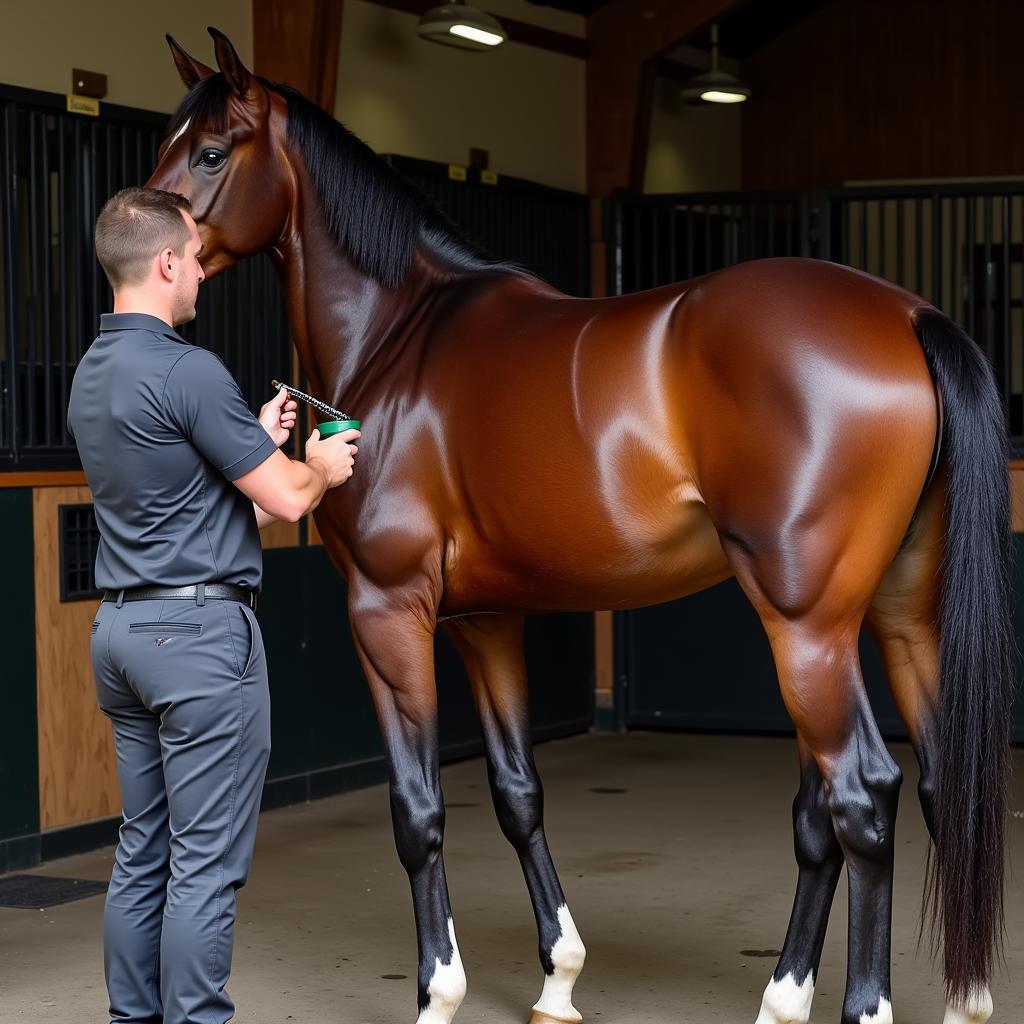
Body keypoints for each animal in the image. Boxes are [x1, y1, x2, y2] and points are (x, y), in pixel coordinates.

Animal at [146, 28, 1015, 1024]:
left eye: (213, 153)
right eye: (167, 145)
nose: (141, 241)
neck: (399, 337)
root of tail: (910, 316)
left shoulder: (386, 610)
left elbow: (418, 809)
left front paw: (438, 992)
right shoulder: (486, 622)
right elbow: (518, 792)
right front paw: (558, 978)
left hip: (808, 628)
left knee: (862, 798)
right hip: (901, 620)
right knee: (935, 785)